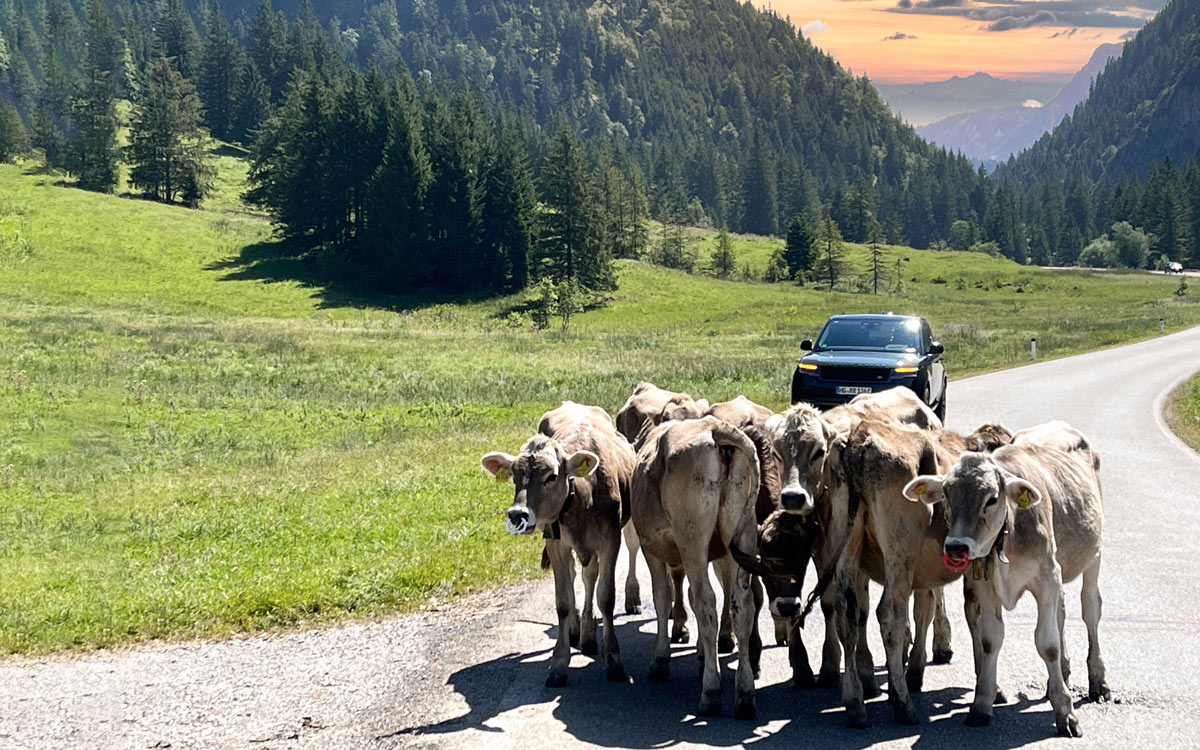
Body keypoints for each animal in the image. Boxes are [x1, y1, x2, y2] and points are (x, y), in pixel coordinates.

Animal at [480, 400, 638, 686]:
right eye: (514, 476)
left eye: (551, 476)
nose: (517, 514)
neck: (582, 495)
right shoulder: (556, 544)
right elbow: (563, 601)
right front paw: (559, 663)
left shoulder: (610, 540)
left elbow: (606, 597)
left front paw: (613, 659)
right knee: (579, 576)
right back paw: (578, 630)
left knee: (594, 574)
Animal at [628, 415, 758, 720]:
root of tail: (714, 428)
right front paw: (699, 652)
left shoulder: (652, 548)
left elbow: (662, 598)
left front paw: (660, 658)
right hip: (742, 533)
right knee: (742, 603)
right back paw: (745, 694)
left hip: (692, 538)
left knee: (705, 600)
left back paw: (710, 692)